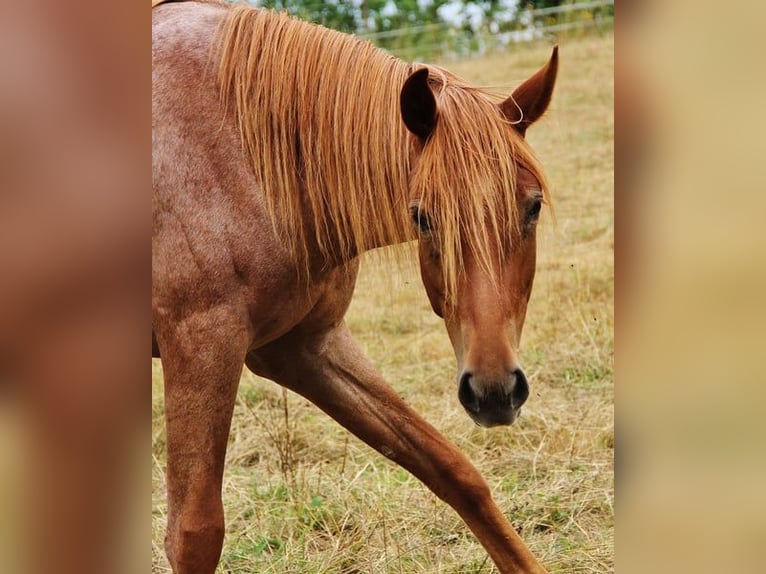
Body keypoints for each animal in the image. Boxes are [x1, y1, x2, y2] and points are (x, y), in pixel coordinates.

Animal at [152, 1, 558, 572]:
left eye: (533, 206)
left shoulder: (302, 346)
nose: (495, 391)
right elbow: (194, 533)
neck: (244, 153)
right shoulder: (200, 347)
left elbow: (451, 468)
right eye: (422, 217)